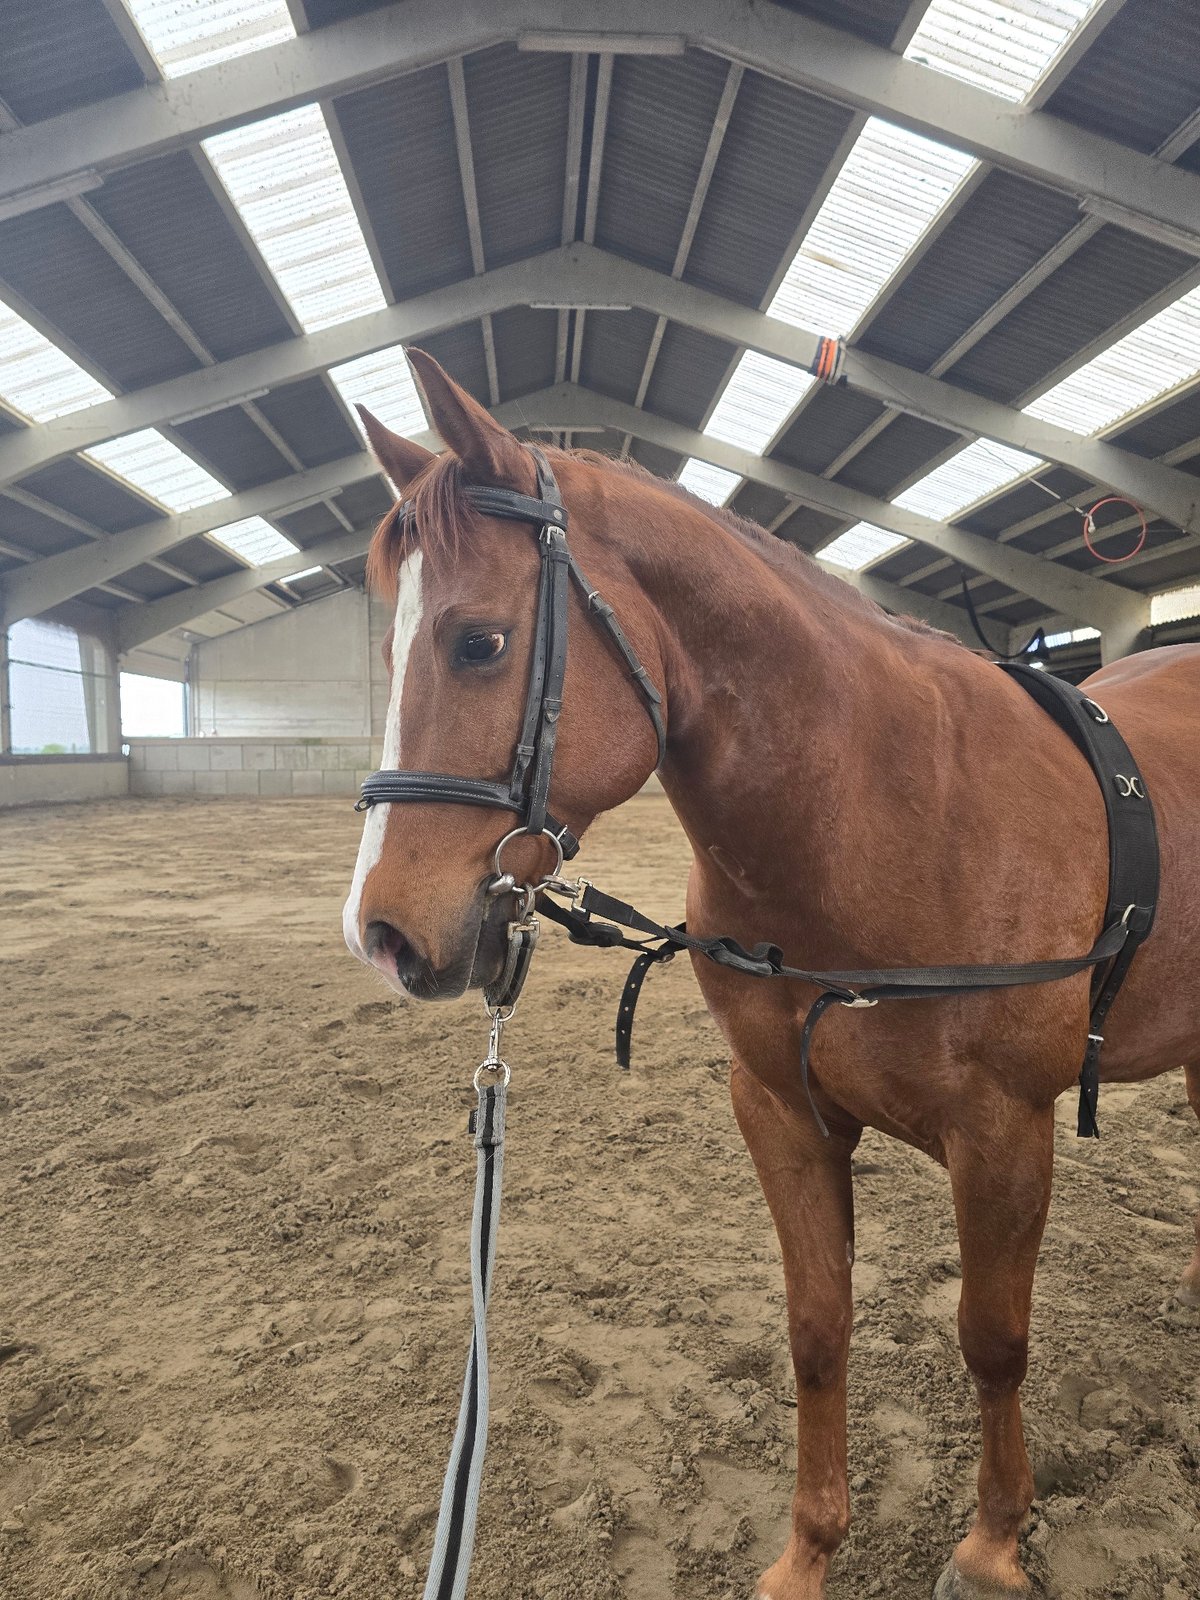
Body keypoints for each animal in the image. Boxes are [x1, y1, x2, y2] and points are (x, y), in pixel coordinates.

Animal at [342, 349, 1200, 1600]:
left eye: (480, 642)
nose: (385, 931)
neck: (880, 814)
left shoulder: (1004, 1131)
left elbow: (994, 1338)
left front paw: (993, 1540)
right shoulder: (782, 1110)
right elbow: (816, 1327)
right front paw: (808, 1552)